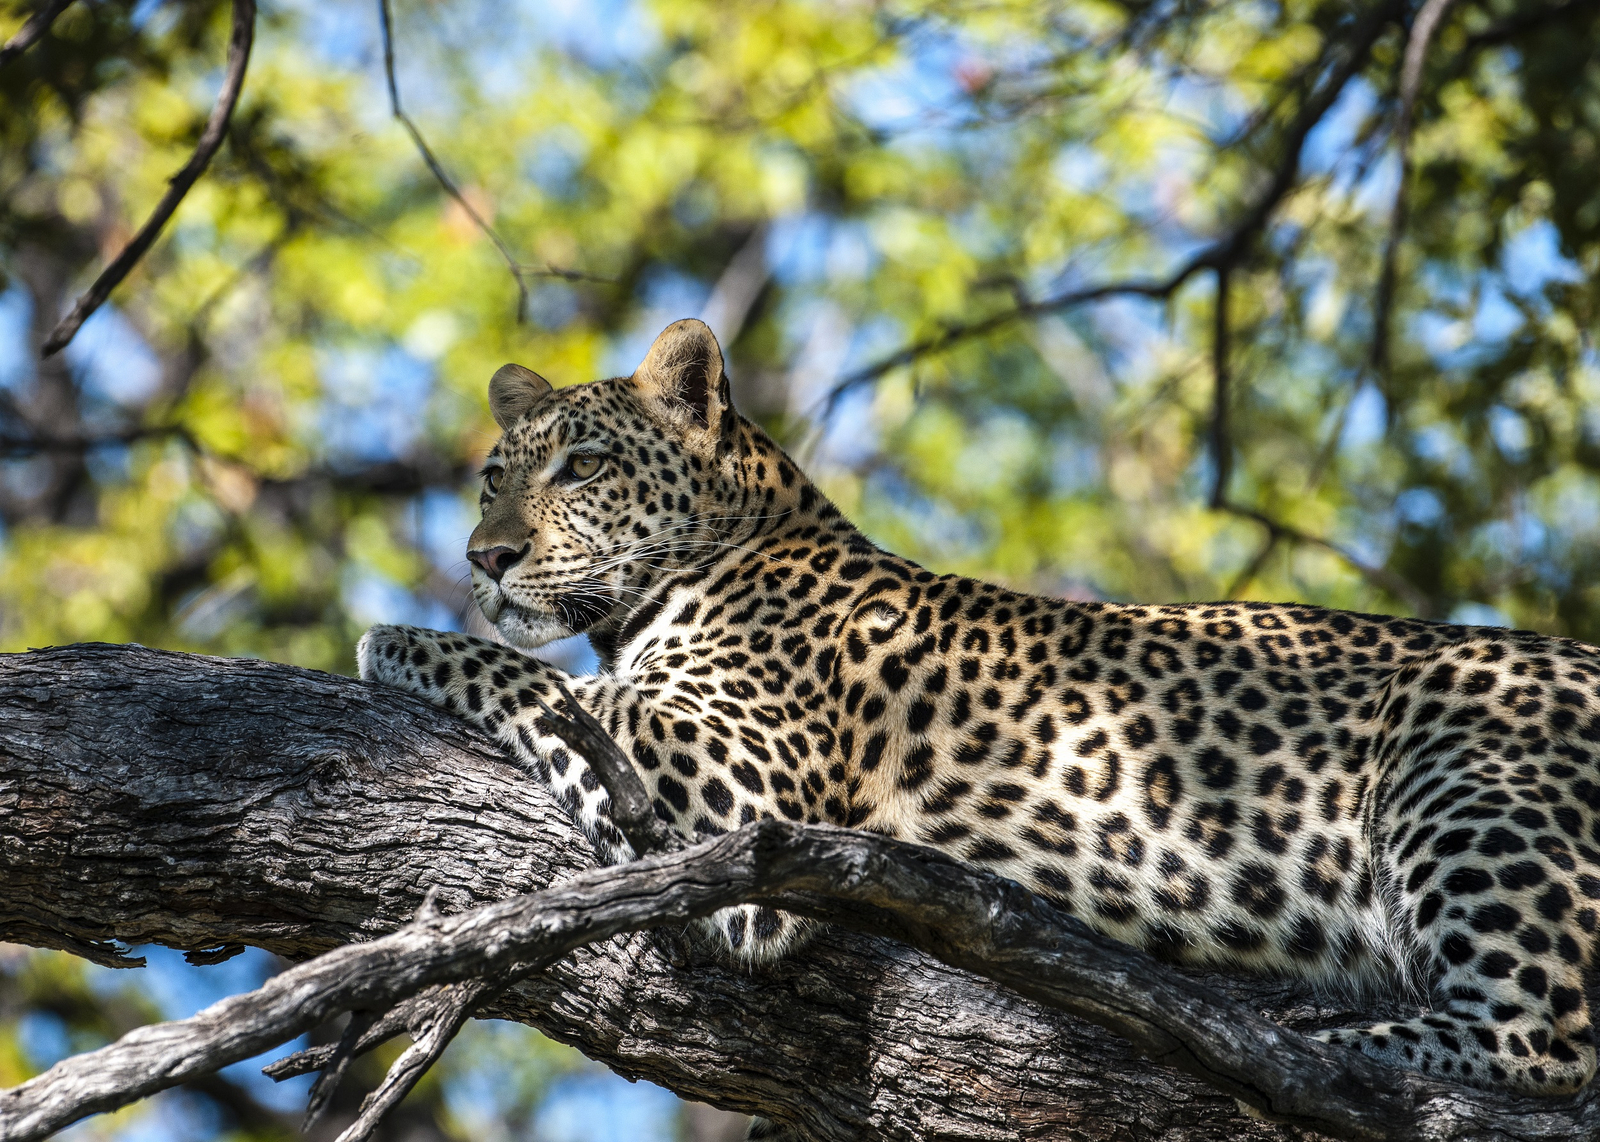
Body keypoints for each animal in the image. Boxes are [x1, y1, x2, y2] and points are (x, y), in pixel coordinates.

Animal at [360, 317, 1600, 1098]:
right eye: (490, 476)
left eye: (579, 465)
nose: (484, 556)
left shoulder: (744, 802)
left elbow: (540, 679)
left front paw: (391, 636)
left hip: (1461, 751)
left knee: (1548, 1034)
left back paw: (1312, 1041)